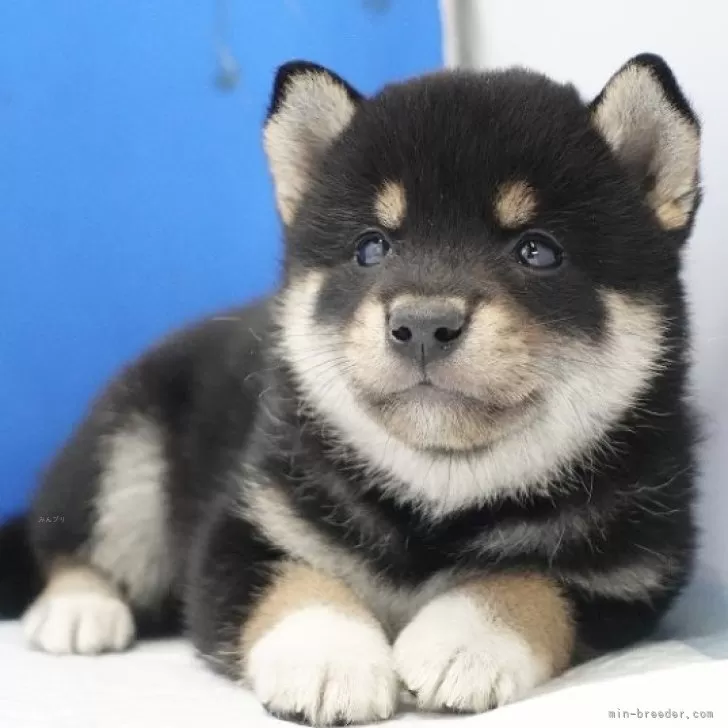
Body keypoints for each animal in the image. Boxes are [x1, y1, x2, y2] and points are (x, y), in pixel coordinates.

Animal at [1, 57, 704, 728]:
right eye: (372, 247)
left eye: (537, 251)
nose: (422, 323)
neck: (436, 500)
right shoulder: (244, 532)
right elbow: (298, 587)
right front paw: (329, 659)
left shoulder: (627, 578)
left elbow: (530, 580)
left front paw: (466, 639)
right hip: (125, 448)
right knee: (66, 539)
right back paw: (79, 608)